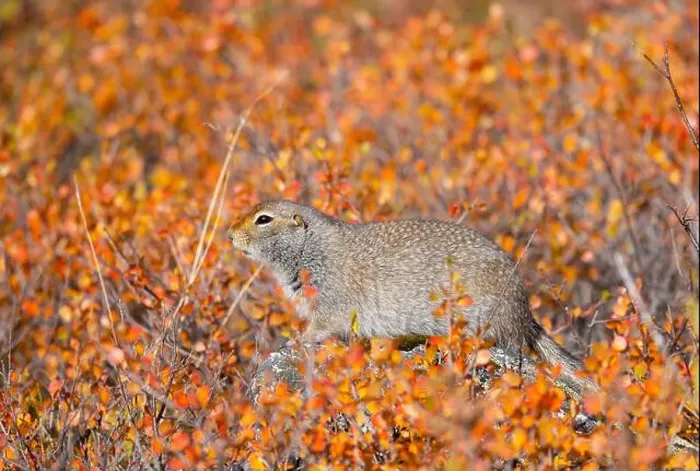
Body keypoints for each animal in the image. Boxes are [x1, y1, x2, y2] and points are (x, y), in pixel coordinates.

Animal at [227, 200, 595, 394]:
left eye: (263, 219)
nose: (229, 234)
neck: (310, 249)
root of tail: (525, 314)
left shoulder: (330, 299)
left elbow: (321, 325)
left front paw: (297, 339)